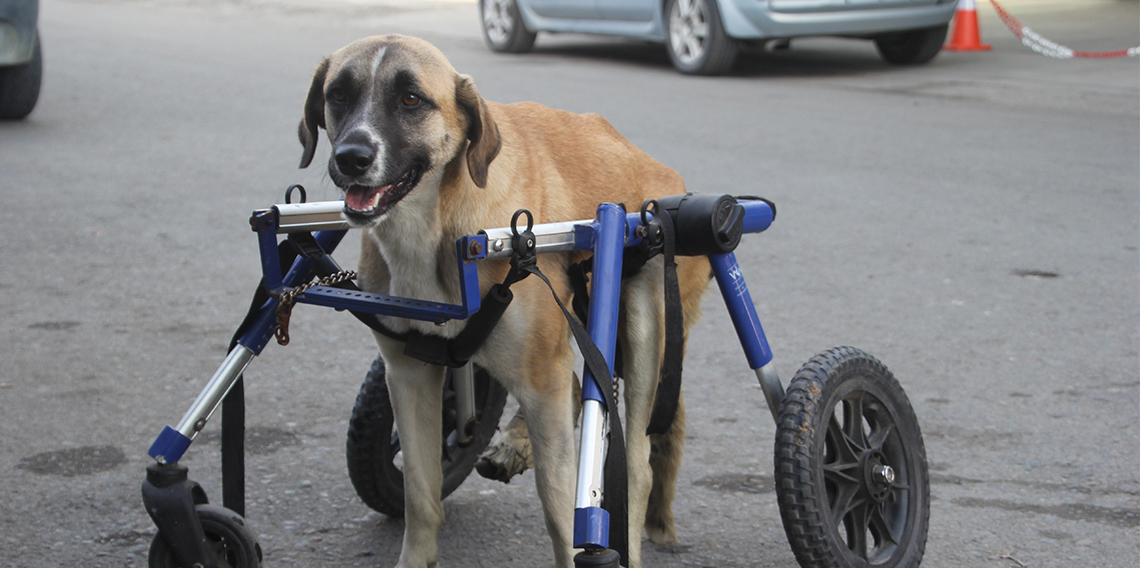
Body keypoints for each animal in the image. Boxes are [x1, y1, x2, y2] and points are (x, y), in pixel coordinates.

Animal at [300, 36, 711, 568]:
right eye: (338, 95)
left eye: (411, 99)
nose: (352, 157)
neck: (437, 228)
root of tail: (671, 180)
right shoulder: (409, 375)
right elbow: (420, 496)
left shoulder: (542, 380)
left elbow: (562, 514)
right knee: (578, 388)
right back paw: (516, 443)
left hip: (641, 334)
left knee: (637, 469)